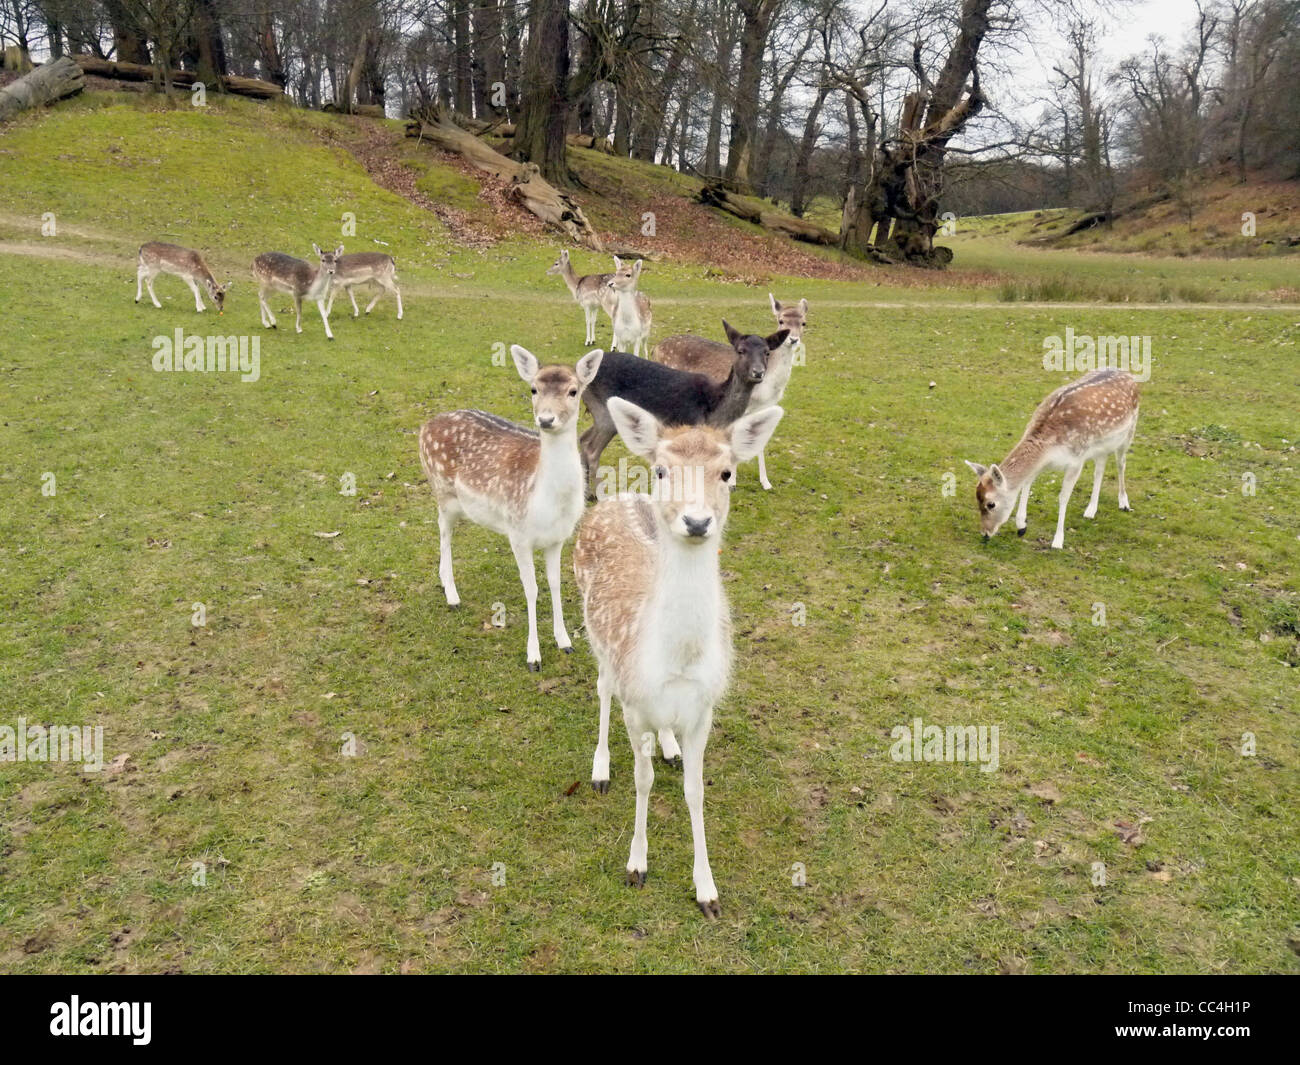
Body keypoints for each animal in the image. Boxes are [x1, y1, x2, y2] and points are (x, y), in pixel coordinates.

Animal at [416, 345, 603, 670]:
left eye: (573, 391)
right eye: (533, 388)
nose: (546, 419)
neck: (546, 500)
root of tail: (425, 426)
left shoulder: (558, 539)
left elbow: (554, 584)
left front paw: (565, 641)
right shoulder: (518, 534)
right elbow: (532, 589)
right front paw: (534, 656)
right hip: (442, 491)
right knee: (443, 532)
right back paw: (452, 594)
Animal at [577, 397, 780, 915]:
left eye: (727, 472)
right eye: (662, 470)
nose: (696, 521)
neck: (677, 662)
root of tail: (616, 497)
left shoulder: (704, 708)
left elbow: (695, 790)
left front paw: (707, 889)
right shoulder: (634, 704)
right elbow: (642, 779)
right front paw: (637, 864)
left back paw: (668, 746)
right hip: (596, 637)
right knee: (601, 687)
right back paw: (600, 768)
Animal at [582, 321, 785, 499]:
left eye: (767, 352)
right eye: (741, 351)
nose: (758, 372)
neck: (715, 409)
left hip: (597, 412)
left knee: (583, 439)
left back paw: (587, 494)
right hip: (605, 412)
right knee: (592, 449)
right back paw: (599, 495)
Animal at [655, 293, 806, 488]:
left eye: (803, 323)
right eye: (781, 320)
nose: (793, 339)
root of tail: (655, 348)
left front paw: (766, 482)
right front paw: (731, 481)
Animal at [967, 366, 1138, 548]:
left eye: (991, 504)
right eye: (977, 500)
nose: (985, 533)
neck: (1049, 450)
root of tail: (1127, 373)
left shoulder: (1076, 460)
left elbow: (1063, 498)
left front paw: (1058, 541)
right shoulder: (1041, 464)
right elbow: (1027, 483)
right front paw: (1021, 526)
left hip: (1129, 433)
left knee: (1121, 464)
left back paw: (1124, 502)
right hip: (1101, 446)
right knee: (1100, 468)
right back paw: (1091, 509)